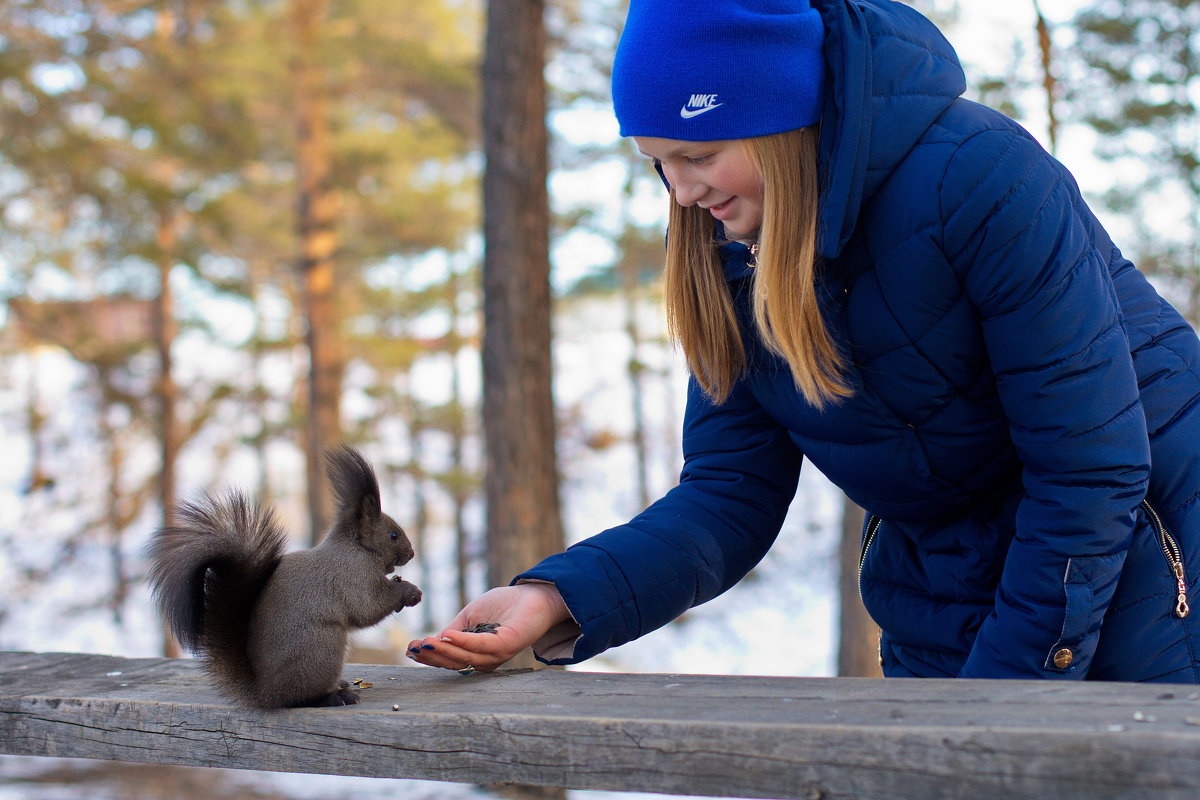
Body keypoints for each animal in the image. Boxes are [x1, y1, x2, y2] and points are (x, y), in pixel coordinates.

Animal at [148, 448, 424, 710]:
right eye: (393, 535)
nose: (411, 554)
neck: (357, 547)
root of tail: (266, 693)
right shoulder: (353, 575)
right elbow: (368, 607)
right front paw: (409, 592)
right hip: (323, 647)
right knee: (299, 698)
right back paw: (334, 697)